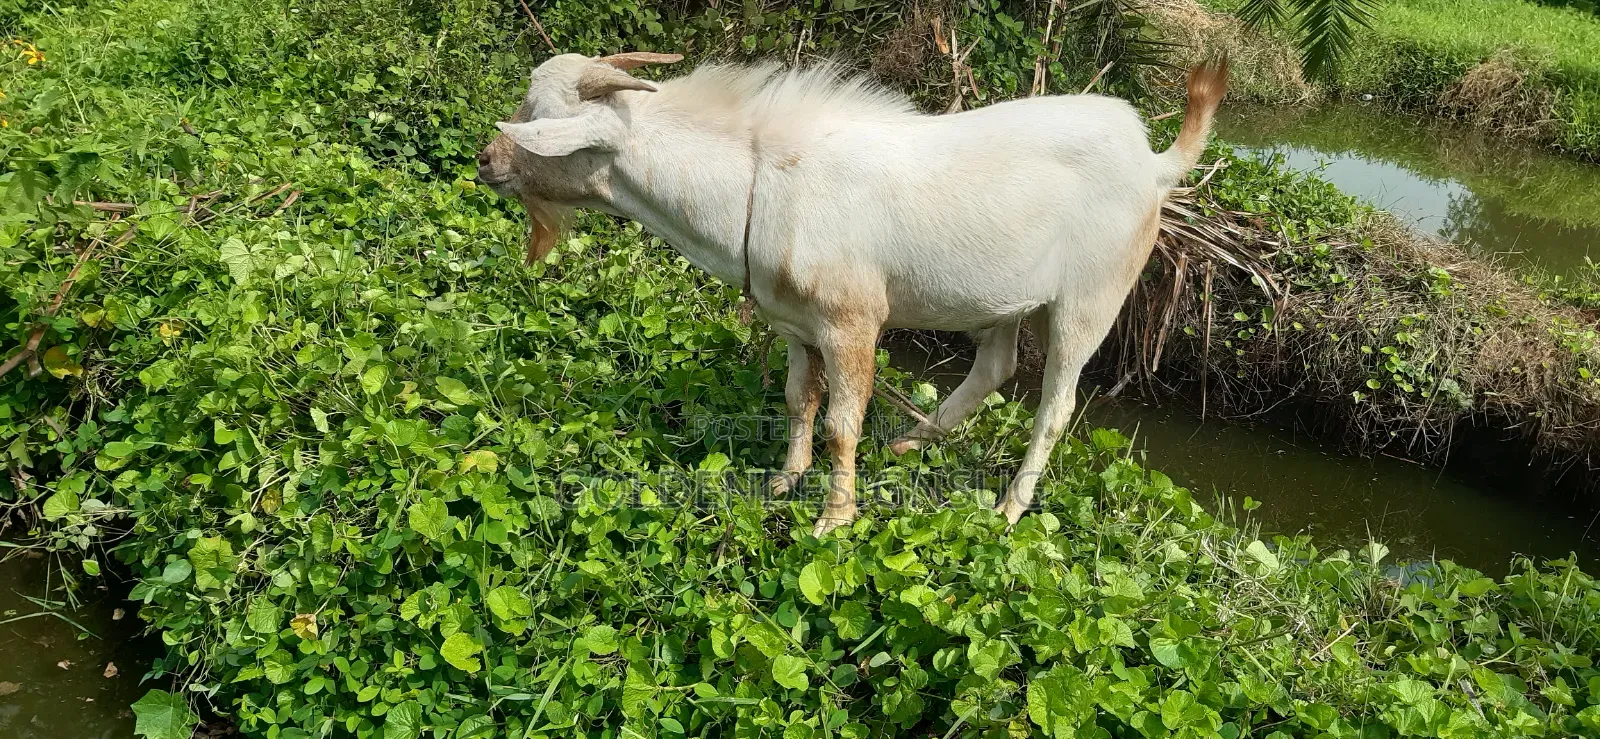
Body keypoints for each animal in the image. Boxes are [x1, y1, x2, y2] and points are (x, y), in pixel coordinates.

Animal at [476, 52, 1228, 536]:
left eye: (536, 119)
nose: (486, 160)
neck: (759, 181)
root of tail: (1155, 164)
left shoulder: (852, 323)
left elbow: (843, 421)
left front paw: (834, 518)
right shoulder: (794, 324)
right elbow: (797, 400)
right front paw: (785, 479)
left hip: (1090, 296)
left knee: (1056, 401)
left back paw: (1010, 506)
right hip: (1005, 299)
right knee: (995, 365)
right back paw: (912, 445)